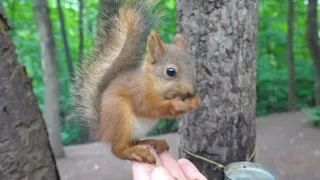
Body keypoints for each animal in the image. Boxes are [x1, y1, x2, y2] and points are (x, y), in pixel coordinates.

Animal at [72, 0, 200, 164]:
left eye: (192, 66)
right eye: (170, 72)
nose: (192, 91)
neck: (152, 82)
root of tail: (104, 131)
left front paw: (194, 102)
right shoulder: (137, 91)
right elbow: (147, 107)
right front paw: (176, 105)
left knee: (133, 141)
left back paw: (153, 142)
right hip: (119, 115)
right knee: (118, 149)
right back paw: (136, 152)